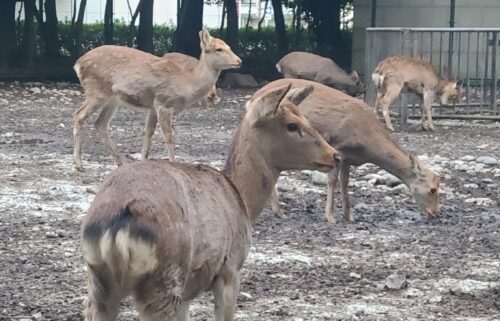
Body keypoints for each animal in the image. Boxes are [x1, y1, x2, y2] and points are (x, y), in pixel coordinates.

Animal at [72, 28, 240, 170]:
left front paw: (143, 160)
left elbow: (149, 132)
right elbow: (168, 136)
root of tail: (77, 64)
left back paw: (120, 163)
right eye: (218, 49)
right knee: (78, 114)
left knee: (100, 122)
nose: (239, 60)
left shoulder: (153, 106)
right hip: (96, 90)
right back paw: (79, 163)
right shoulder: (164, 102)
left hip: (113, 99)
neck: (187, 83)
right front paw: (173, 163)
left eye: (229, 46)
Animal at [81, 83, 340, 320]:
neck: (241, 198)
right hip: (164, 280)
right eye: (292, 125)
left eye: (304, 116)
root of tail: (117, 223)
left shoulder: (188, 292)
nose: (334, 155)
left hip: (99, 282)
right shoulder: (230, 269)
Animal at [254, 78, 442, 222]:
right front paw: (330, 216)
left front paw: (349, 216)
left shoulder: (348, 158)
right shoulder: (338, 148)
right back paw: (278, 211)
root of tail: (255, 96)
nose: (434, 213)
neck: (367, 142)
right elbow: (332, 180)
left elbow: (345, 182)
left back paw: (277, 211)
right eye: (433, 189)